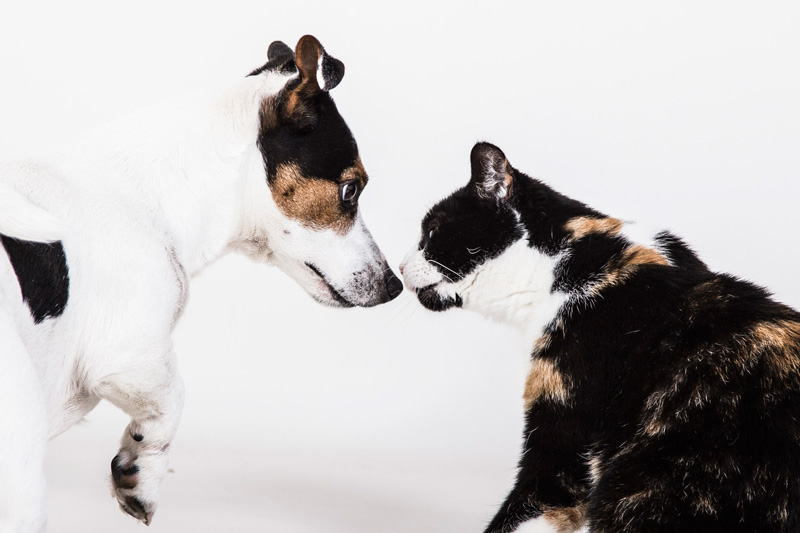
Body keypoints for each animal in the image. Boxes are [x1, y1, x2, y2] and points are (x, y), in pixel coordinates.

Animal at [0, 35, 400, 528]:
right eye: (350, 190)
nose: (394, 285)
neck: (152, 191)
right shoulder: (129, 353)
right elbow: (174, 398)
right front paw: (142, 472)